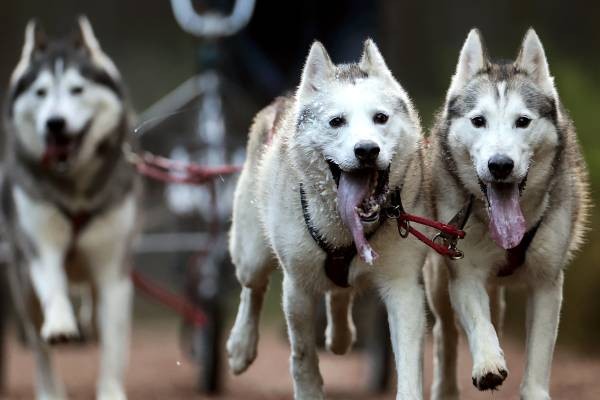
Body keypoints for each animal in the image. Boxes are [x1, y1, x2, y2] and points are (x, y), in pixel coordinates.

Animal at [2, 16, 139, 400]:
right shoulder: (40, 244)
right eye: (41, 93)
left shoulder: (113, 266)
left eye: (77, 90)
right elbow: (52, 286)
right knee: (39, 347)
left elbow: (113, 340)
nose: (55, 123)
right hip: (21, 285)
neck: (76, 190)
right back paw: (50, 388)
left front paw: (110, 390)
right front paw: (62, 323)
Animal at [225, 39, 426, 398]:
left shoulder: (403, 286)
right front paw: (309, 390)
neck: (347, 231)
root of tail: (283, 100)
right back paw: (241, 346)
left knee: (340, 292)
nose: (367, 150)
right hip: (251, 253)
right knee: (253, 286)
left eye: (380, 118)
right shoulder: (297, 288)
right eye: (336, 122)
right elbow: (302, 355)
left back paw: (341, 336)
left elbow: (408, 360)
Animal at [426, 28, 592, 400]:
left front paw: (533, 390)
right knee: (446, 333)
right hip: (438, 279)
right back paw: (446, 387)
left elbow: (539, 353)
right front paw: (488, 364)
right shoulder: (465, 273)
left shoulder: (547, 282)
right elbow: (479, 324)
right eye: (478, 121)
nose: (500, 165)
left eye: (522, 122)